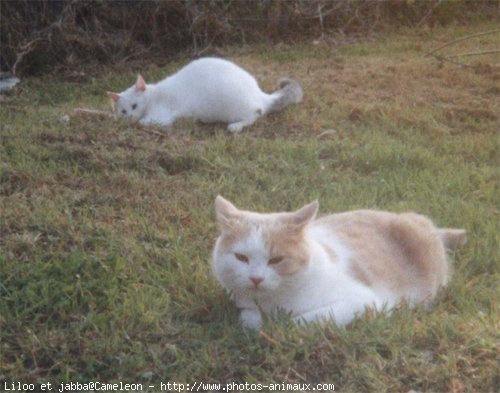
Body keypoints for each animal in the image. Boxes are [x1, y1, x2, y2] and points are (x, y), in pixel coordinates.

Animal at [106, 56, 300, 132]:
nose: (129, 116)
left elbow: (144, 122)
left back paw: (236, 126)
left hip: (235, 107)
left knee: (257, 113)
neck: (154, 95)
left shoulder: (161, 116)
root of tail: (259, 92)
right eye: (123, 111)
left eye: (134, 106)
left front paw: (135, 123)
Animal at [210, 195, 464, 328]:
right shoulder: (246, 306)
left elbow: (305, 321)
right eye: (241, 257)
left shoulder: (364, 301)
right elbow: (248, 318)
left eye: (276, 260)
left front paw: (282, 325)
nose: (255, 278)